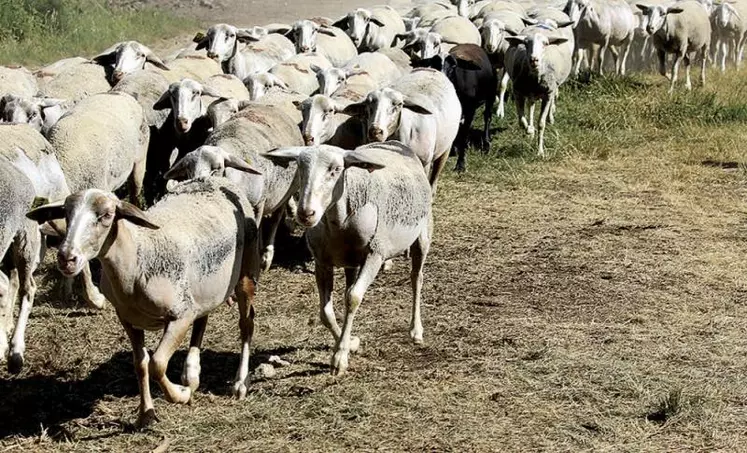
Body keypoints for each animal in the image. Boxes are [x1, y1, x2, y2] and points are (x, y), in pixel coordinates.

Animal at [266, 141, 436, 374]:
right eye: (300, 167)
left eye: (336, 169)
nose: (306, 214)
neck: (340, 222)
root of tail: (393, 143)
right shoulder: (322, 262)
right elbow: (326, 313)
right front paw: (349, 344)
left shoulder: (375, 254)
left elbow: (353, 298)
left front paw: (340, 357)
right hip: (351, 261)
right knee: (349, 287)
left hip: (422, 234)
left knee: (416, 278)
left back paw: (416, 330)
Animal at [506, 27, 576, 157]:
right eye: (525, 44)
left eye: (546, 44)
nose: (534, 60)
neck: (535, 78)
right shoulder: (517, 92)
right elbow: (521, 121)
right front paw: (529, 130)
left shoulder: (548, 94)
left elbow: (541, 124)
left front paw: (540, 151)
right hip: (530, 94)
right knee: (531, 106)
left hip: (552, 88)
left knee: (548, 103)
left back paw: (550, 118)